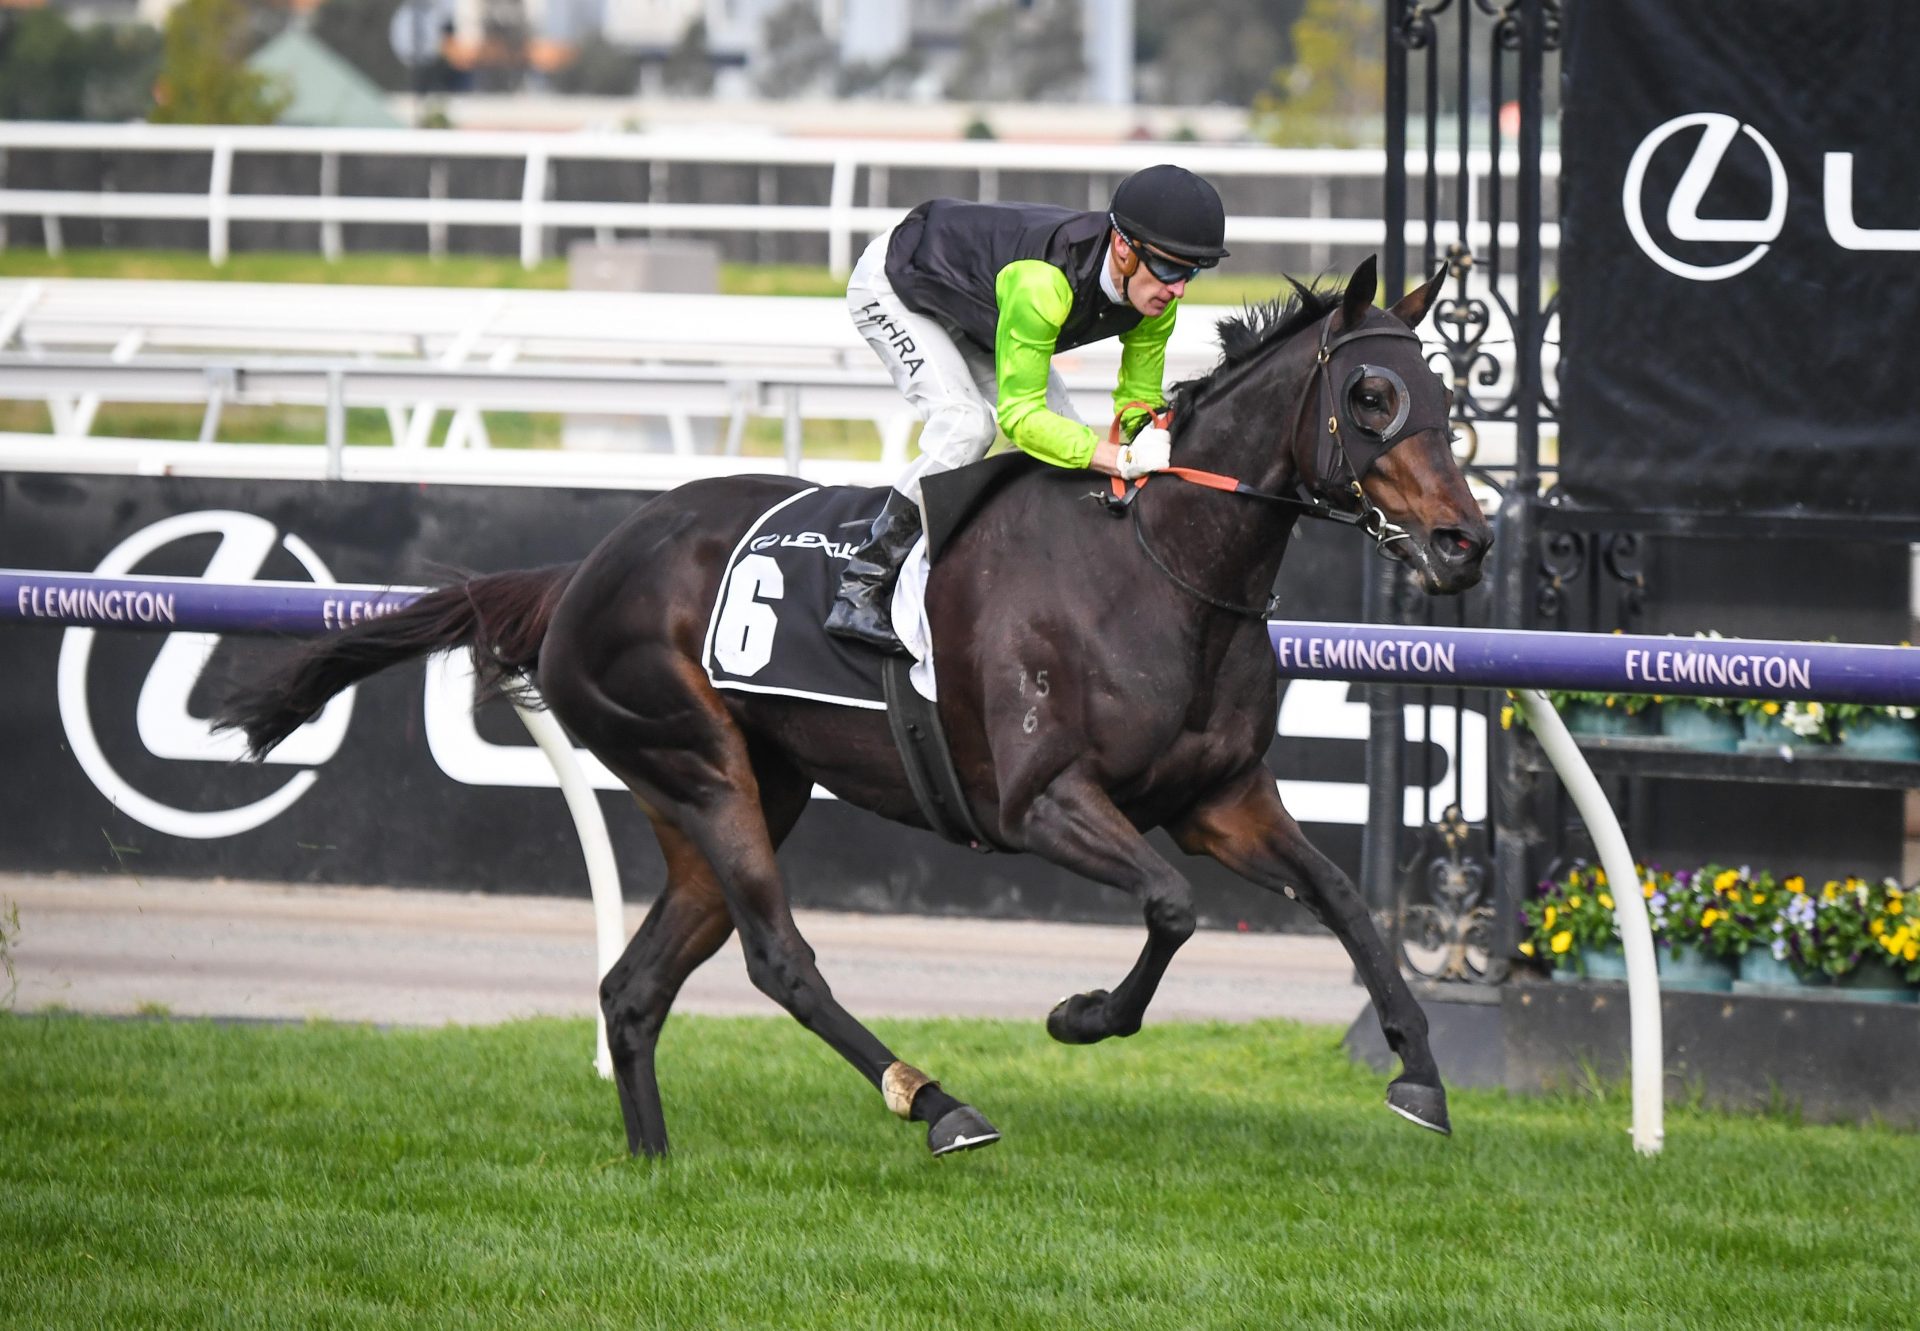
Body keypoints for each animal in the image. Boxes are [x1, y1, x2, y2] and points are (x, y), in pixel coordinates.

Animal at [217, 253, 1489, 1160]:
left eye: (1448, 389)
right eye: (1372, 393)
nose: (1462, 543)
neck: (1160, 568)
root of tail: (582, 569)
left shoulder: (1221, 797)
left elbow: (1345, 901)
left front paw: (1420, 1073)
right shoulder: (1040, 802)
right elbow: (1173, 906)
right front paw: (1080, 1013)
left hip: (733, 789)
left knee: (635, 986)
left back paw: (653, 1160)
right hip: (699, 764)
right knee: (781, 959)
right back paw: (937, 1103)